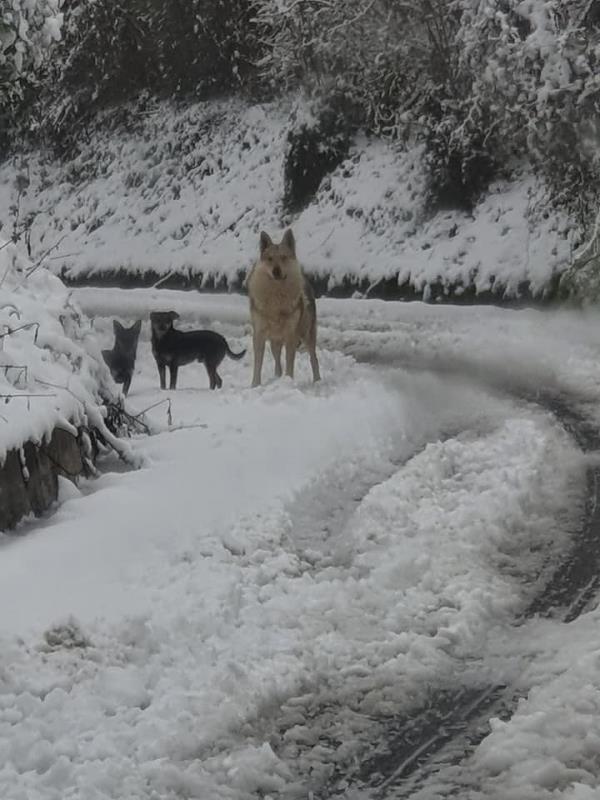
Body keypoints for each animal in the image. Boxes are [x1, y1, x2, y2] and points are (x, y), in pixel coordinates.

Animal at [245, 228, 318, 388]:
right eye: (270, 259)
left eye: (284, 258)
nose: (276, 271)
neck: (276, 298)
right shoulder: (259, 334)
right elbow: (258, 365)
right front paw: (255, 385)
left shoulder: (291, 335)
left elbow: (290, 363)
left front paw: (289, 381)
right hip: (274, 341)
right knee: (277, 360)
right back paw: (277, 378)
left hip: (307, 335)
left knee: (314, 359)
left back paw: (317, 381)